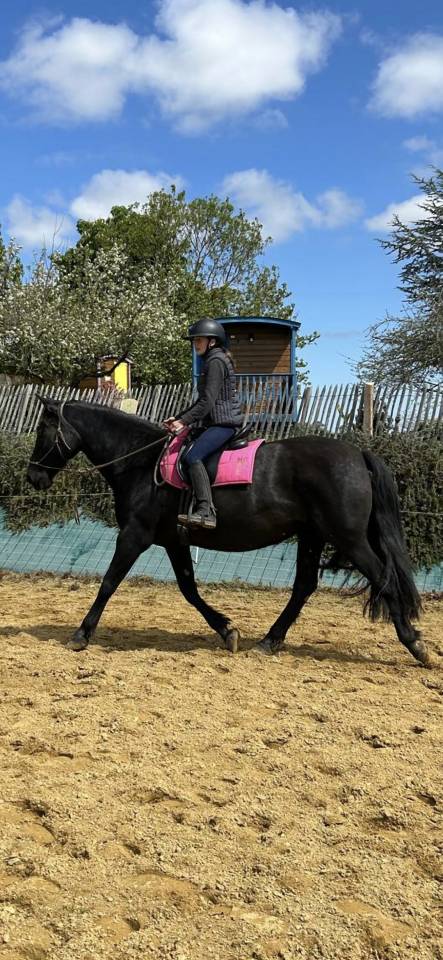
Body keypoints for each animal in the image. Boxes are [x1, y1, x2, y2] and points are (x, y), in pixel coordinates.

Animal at [26, 397, 429, 666]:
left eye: (43, 430)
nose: (33, 477)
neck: (140, 461)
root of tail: (357, 455)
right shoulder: (173, 540)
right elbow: (189, 590)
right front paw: (227, 631)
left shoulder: (133, 536)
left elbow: (109, 582)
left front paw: (80, 635)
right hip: (313, 535)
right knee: (304, 587)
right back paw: (268, 641)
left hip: (348, 538)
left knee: (383, 578)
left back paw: (415, 645)